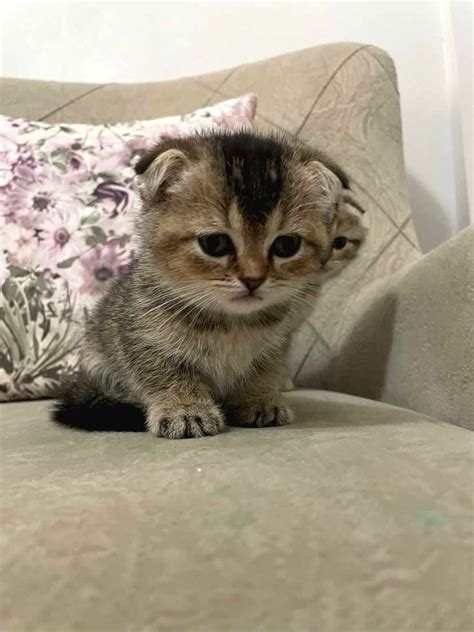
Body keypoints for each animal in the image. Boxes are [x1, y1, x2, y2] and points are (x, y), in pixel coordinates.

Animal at [54, 131, 366, 436]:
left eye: (287, 245)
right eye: (214, 243)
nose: (253, 279)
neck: (232, 325)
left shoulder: (277, 341)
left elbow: (263, 371)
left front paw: (259, 400)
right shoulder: (143, 336)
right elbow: (163, 372)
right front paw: (185, 409)